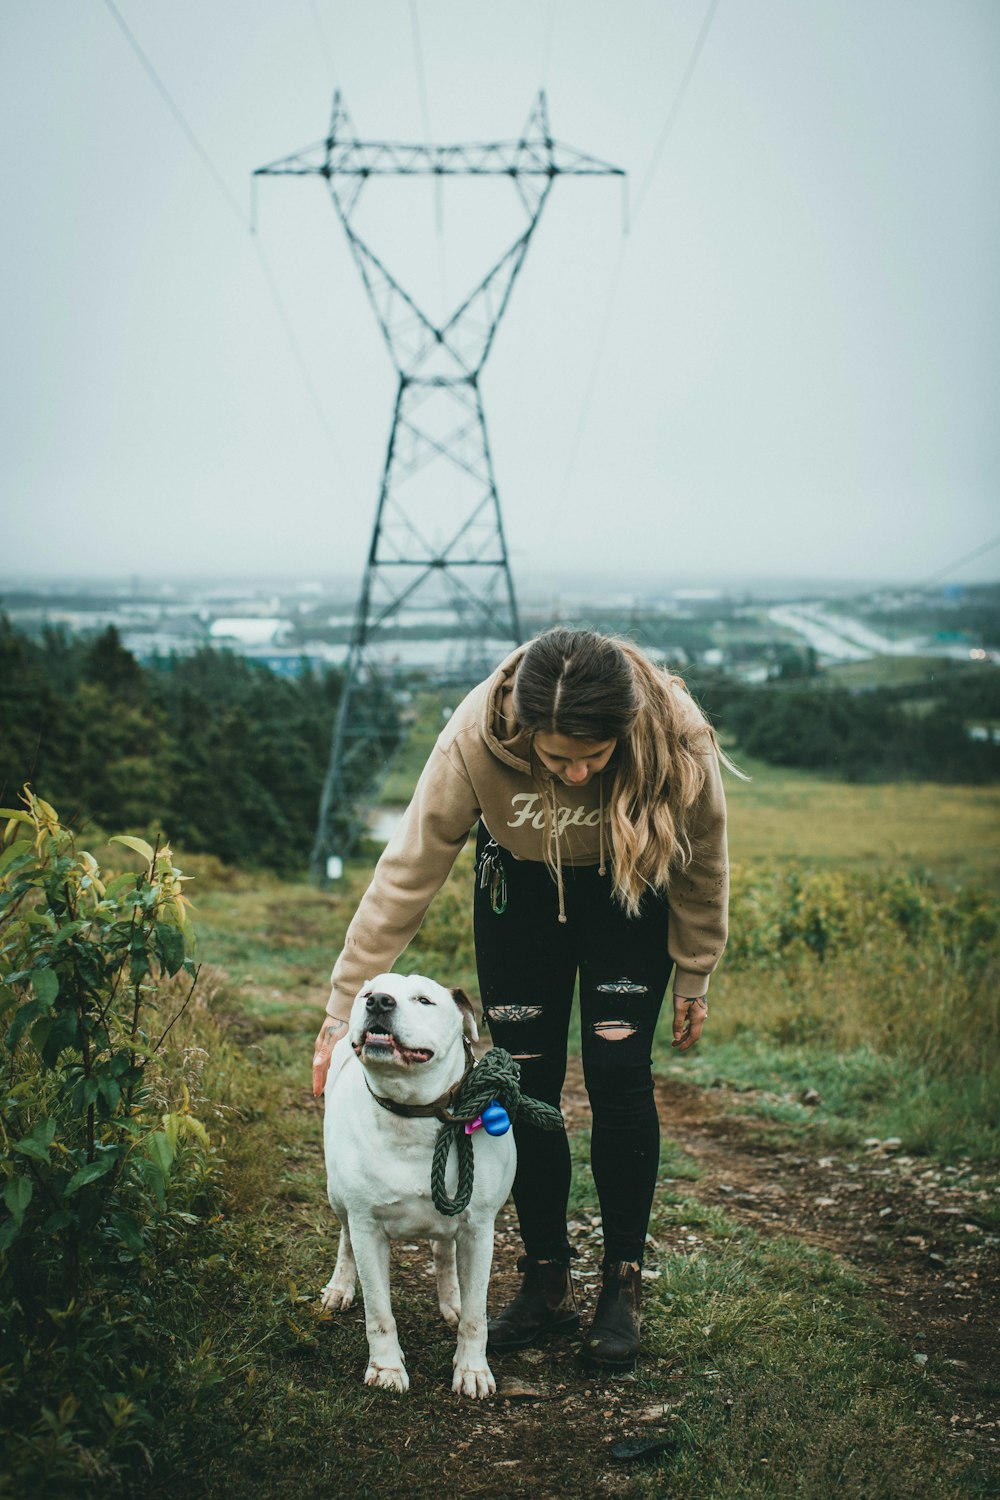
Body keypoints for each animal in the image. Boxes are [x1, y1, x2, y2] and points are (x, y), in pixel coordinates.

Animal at [322, 978, 515, 1398]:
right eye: (367, 995)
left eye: (425, 1001)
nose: (378, 1002)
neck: (413, 1115)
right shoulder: (367, 1228)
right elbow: (379, 1311)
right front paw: (386, 1368)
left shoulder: (479, 1230)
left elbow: (476, 1314)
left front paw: (472, 1370)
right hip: (337, 1196)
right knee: (345, 1239)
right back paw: (339, 1287)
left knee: (444, 1251)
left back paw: (451, 1299)